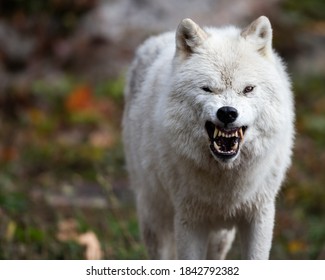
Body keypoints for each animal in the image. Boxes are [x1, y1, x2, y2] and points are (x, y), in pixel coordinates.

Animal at [121, 16, 294, 260]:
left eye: (248, 89)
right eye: (207, 89)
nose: (227, 112)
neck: (226, 182)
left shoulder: (259, 216)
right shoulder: (189, 220)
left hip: (220, 238)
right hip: (154, 216)